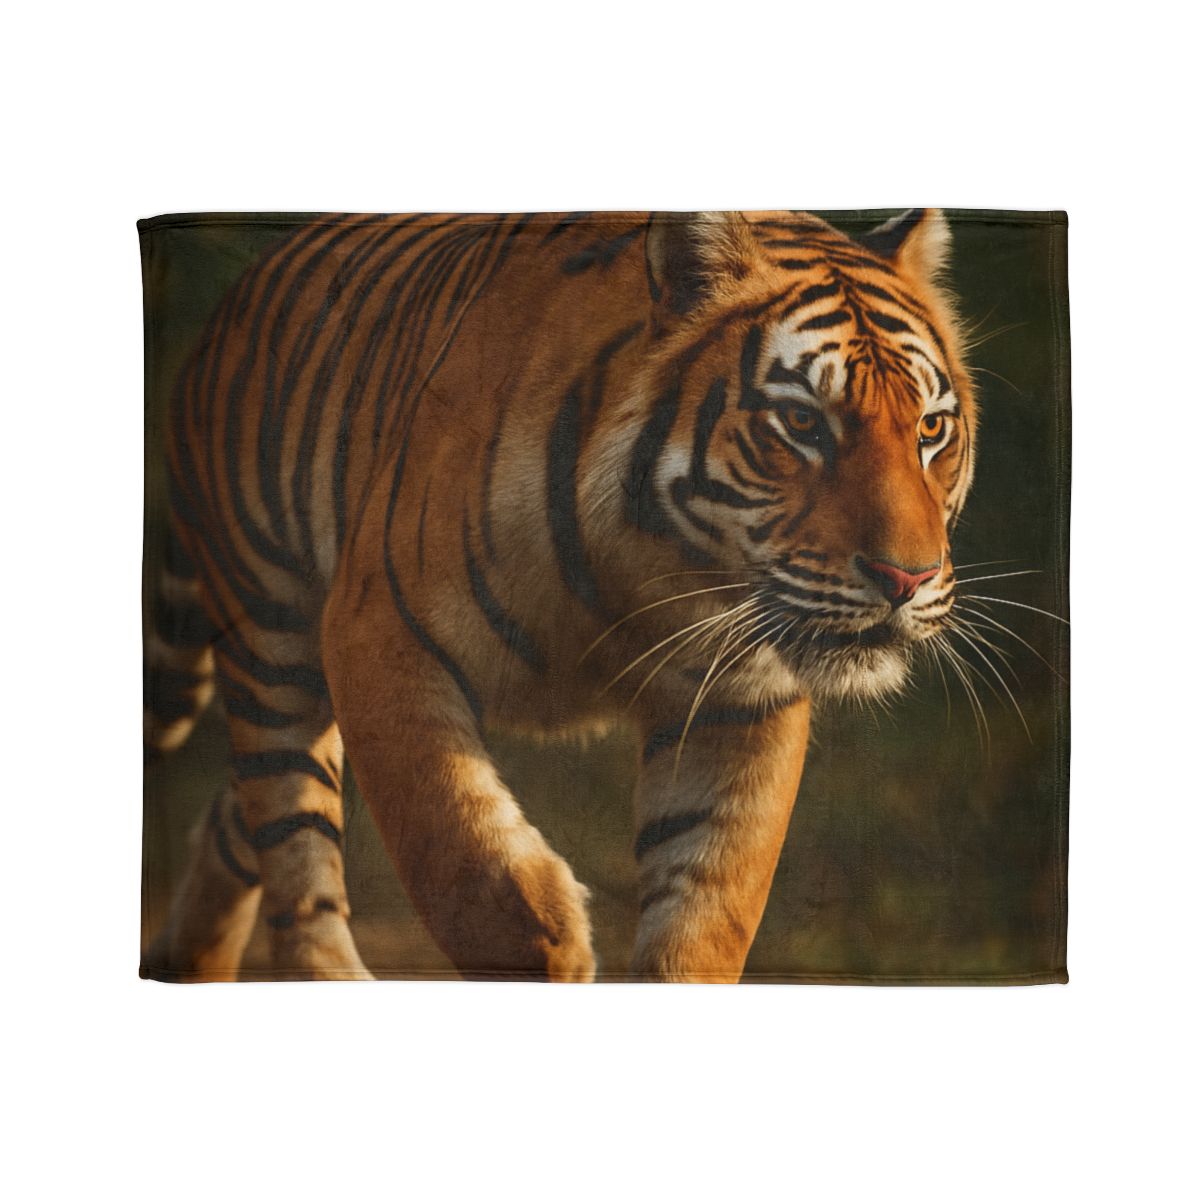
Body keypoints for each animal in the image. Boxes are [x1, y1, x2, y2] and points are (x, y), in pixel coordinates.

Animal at [142, 208, 976, 983]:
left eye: (931, 429)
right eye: (801, 421)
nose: (907, 578)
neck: (657, 570)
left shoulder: (743, 700)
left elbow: (706, 909)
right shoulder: (379, 633)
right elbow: (460, 854)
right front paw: (560, 951)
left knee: (240, 815)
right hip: (272, 632)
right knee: (291, 838)